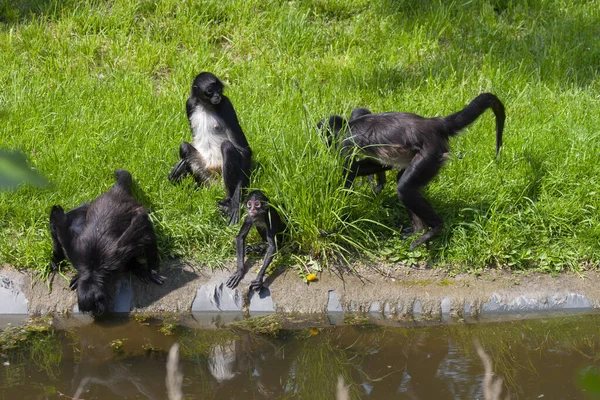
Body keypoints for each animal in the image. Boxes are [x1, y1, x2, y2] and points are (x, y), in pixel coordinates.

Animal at [49, 169, 164, 316]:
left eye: (96, 309)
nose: (97, 313)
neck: (93, 269)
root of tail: (116, 192)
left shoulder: (115, 257)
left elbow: (144, 229)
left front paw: (153, 272)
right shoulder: (75, 253)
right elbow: (58, 220)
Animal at [168, 72, 252, 225]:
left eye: (218, 89)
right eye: (209, 91)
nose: (217, 95)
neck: (205, 105)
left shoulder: (226, 103)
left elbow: (243, 150)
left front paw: (236, 203)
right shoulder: (190, 103)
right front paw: (178, 171)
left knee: (227, 147)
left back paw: (228, 201)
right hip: (207, 177)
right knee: (184, 146)